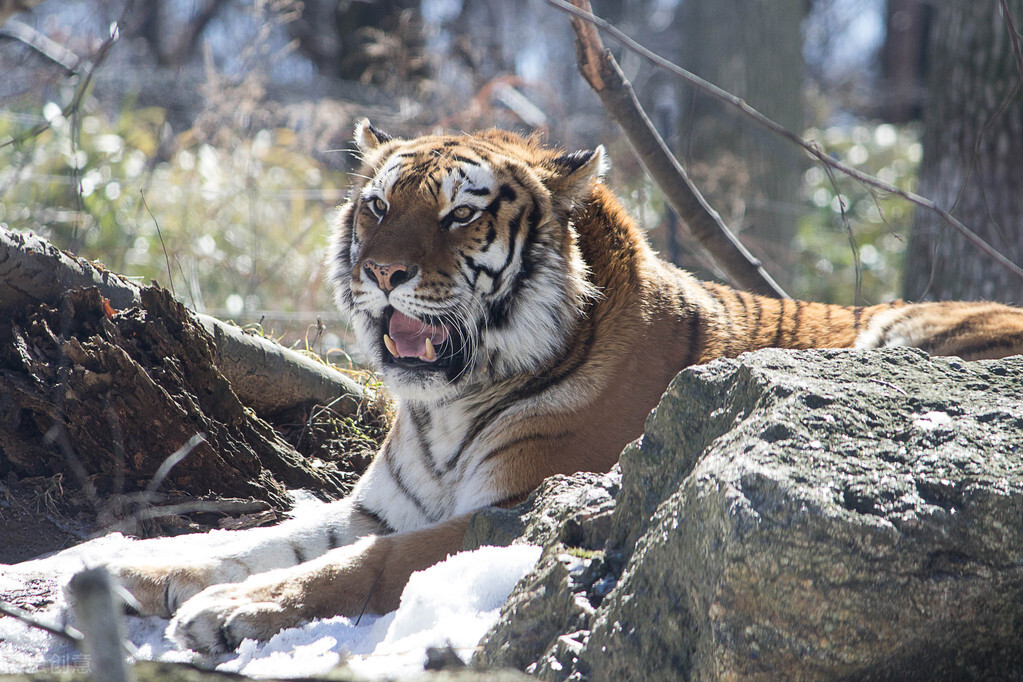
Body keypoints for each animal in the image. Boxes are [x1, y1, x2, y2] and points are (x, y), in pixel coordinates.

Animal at [109, 120, 1023, 654]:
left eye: (458, 214)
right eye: (376, 206)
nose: (381, 273)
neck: (445, 404)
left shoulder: (514, 509)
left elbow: (361, 564)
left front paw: (230, 608)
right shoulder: (384, 504)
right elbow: (269, 536)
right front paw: (128, 566)